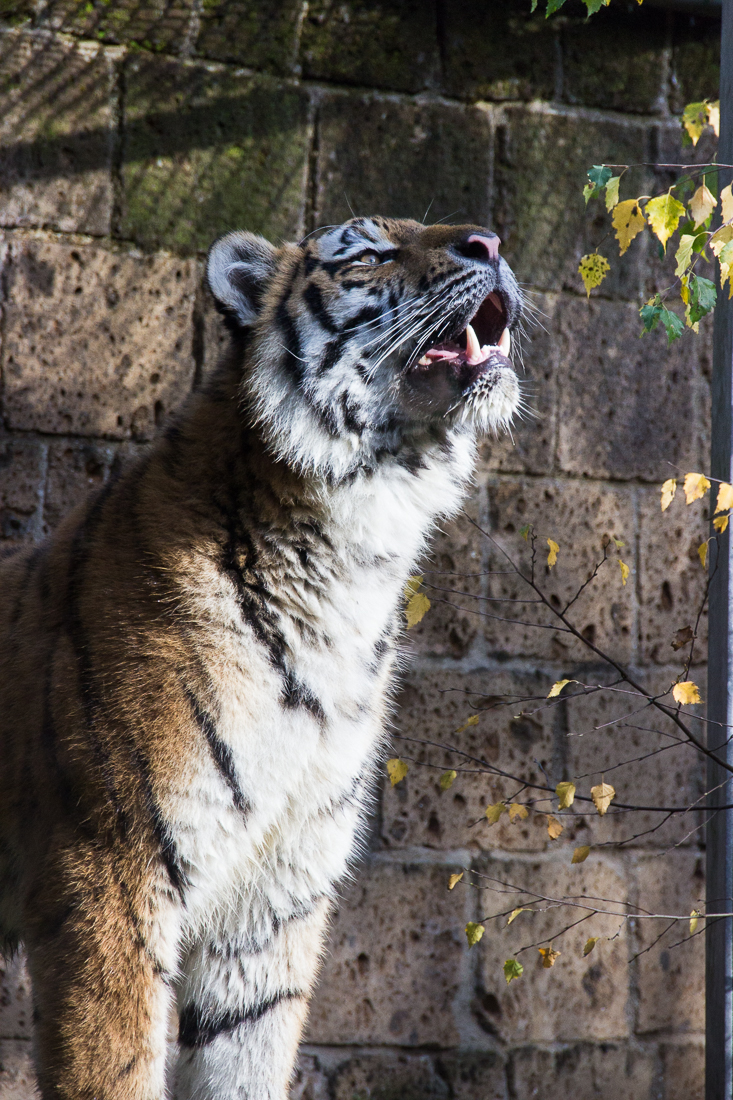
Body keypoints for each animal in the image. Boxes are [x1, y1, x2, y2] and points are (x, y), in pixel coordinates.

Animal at [0, 210, 519, 1095]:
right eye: (372, 253)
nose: (489, 243)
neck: (354, 559)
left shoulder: (276, 894)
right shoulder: (107, 873)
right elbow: (116, 1064)